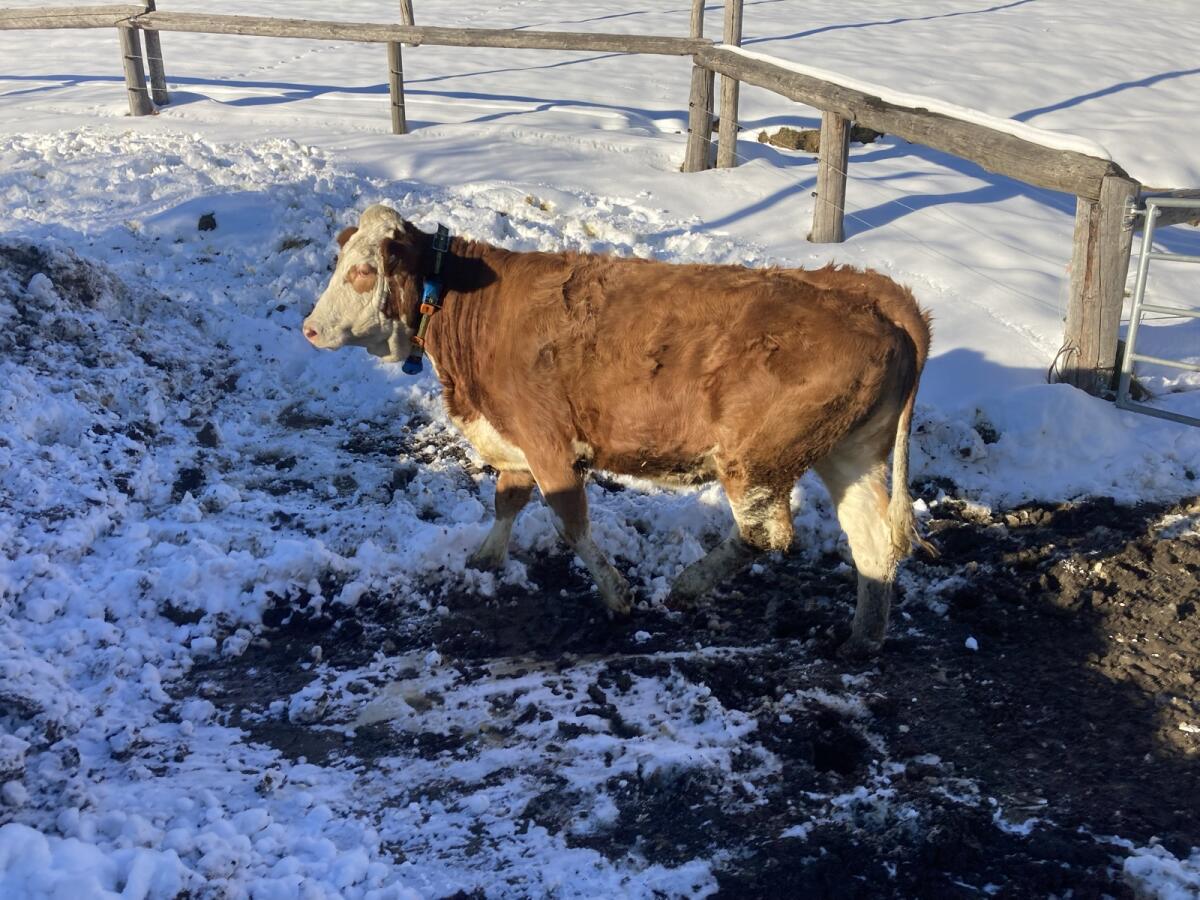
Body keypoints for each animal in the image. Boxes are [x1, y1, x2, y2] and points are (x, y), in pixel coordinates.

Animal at [302, 204, 932, 657]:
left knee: (767, 534)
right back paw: (861, 640)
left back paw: (688, 584)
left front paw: (617, 594)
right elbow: (507, 500)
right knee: (873, 543)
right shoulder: (512, 440)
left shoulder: (547, 440)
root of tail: (871, 291)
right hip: (850, 453)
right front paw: (484, 559)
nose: (309, 328)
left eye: (363, 270)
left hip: (757, 460)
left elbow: (570, 523)